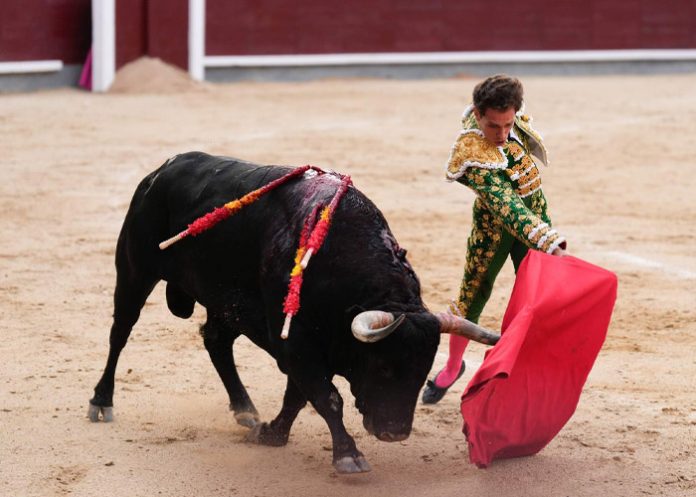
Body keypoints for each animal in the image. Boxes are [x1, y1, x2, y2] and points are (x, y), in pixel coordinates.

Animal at [88, 151, 500, 472]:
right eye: (383, 366)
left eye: (423, 371)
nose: (395, 432)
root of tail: (161, 171)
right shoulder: (294, 343)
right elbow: (326, 397)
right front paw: (347, 455)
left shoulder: (304, 347)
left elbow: (299, 396)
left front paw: (272, 432)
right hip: (134, 271)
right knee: (120, 333)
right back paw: (101, 401)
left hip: (225, 303)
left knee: (216, 342)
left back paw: (245, 409)